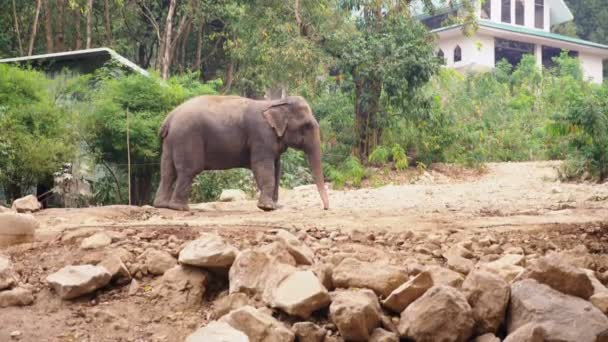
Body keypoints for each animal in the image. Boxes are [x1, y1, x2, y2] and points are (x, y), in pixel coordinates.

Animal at [154, 94, 330, 211]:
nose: (325, 208)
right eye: (307, 126)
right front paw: (267, 207)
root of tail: (169, 118)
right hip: (187, 137)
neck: (276, 103)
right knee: (188, 171)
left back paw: (162, 205)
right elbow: (263, 167)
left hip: (172, 140)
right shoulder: (261, 136)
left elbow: (277, 168)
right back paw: (181, 208)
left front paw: (276, 205)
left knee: (167, 171)